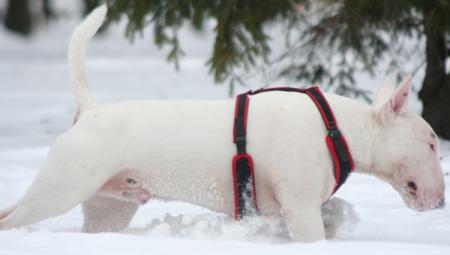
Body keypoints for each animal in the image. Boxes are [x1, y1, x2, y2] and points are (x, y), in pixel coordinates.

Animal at [0, 4, 444, 242]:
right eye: (431, 143)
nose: (440, 203)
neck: (339, 128)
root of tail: (90, 110)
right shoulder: (299, 205)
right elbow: (312, 231)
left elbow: (329, 215)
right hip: (61, 187)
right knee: (12, 217)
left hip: (108, 206)